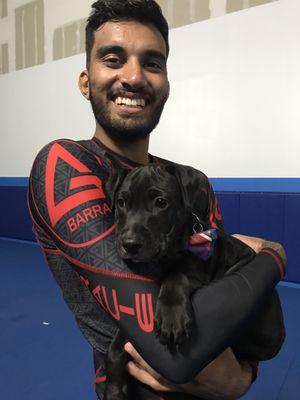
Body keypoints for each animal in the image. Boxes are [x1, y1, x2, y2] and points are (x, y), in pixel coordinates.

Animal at [103, 163, 286, 400]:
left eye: (161, 202)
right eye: (121, 202)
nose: (129, 244)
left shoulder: (199, 274)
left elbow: (176, 276)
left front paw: (171, 318)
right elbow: (120, 340)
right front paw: (114, 387)